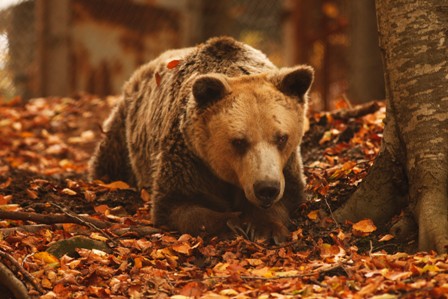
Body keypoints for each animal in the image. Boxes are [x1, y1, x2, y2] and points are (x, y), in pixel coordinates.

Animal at [89, 37, 314, 244]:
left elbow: (287, 196)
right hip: (124, 129)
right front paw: (233, 222)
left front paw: (265, 228)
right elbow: (178, 203)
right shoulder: (189, 159)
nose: (266, 188)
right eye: (239, 141)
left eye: (281, 138)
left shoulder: (286, 166)